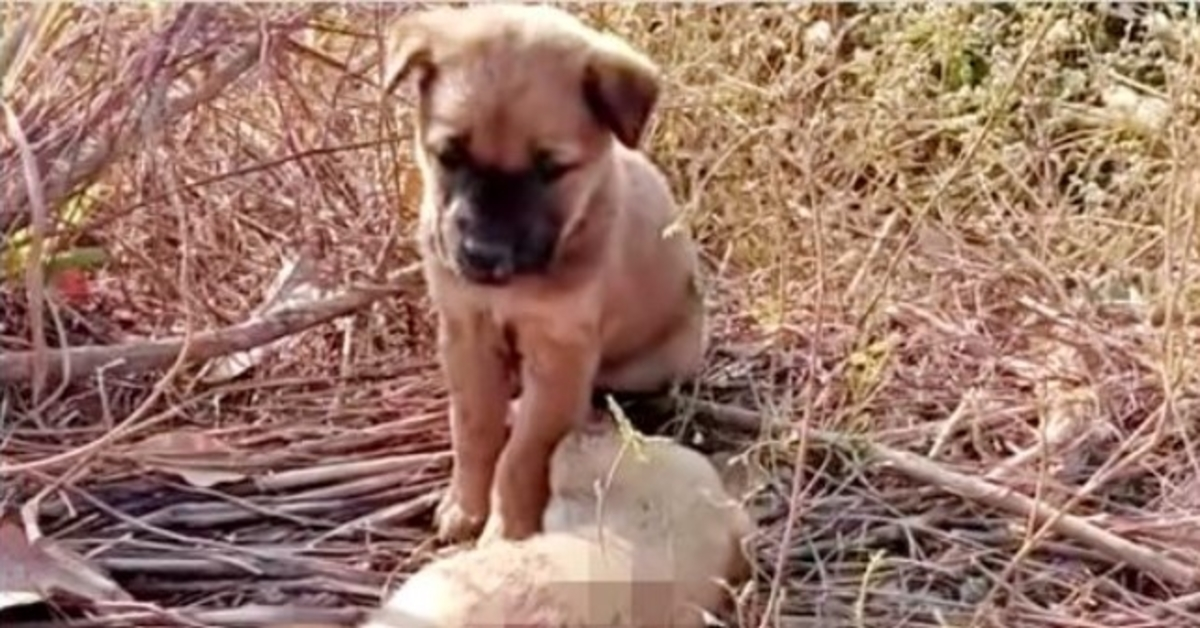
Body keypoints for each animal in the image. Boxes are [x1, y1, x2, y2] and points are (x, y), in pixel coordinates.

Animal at [381, 3, 700, 545]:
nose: (481, 255)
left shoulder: (561, 355)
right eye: (450, 156)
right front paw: (466, 506)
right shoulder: (467, 330)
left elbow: (522, 454)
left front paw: (506, 530)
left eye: (551, 167)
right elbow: (474, 428)